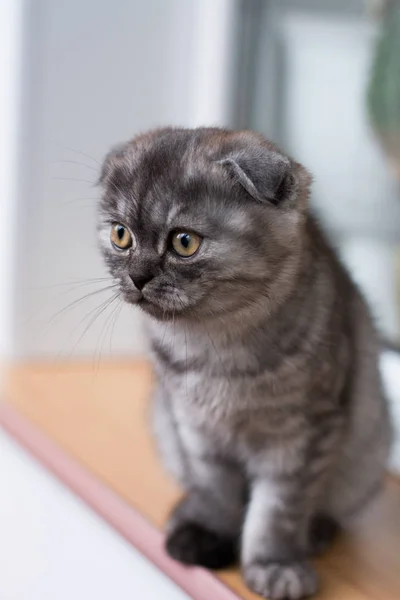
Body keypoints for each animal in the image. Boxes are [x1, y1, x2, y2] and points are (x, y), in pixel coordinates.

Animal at [98, 127, 392, 600]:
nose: (138, 277)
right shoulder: (196, 429)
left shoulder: (300, 437)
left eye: (184, 242)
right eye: (121, 235)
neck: (216, 351)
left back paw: (315, 533)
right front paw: (206, 535)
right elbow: (214, 491)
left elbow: (276, 512)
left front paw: (275, 564)